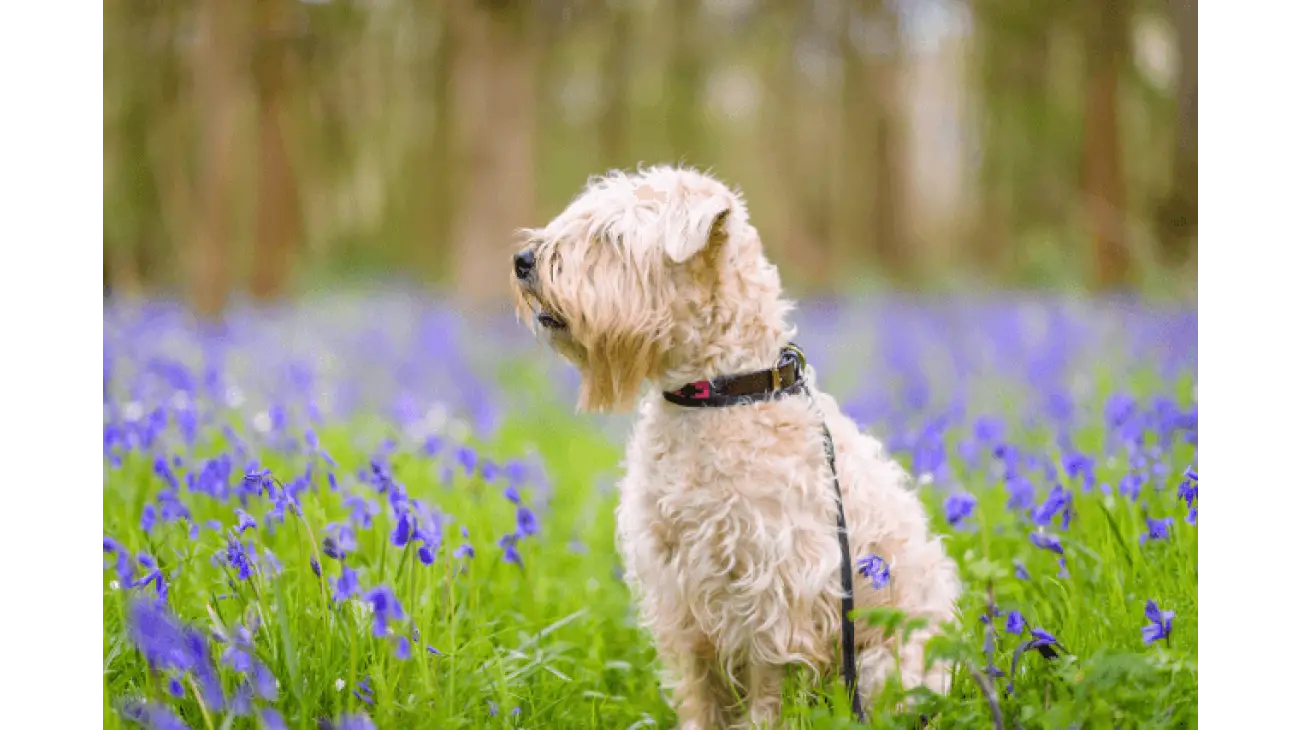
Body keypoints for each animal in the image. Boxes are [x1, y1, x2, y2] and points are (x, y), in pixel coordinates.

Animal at [512, 166, 961, 727]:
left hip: (890, 666)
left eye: (612, 236)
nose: (522, 260)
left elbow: (768, 681)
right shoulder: (679, 587)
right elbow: (699, 686)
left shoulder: (775, 584)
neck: (716, 395)